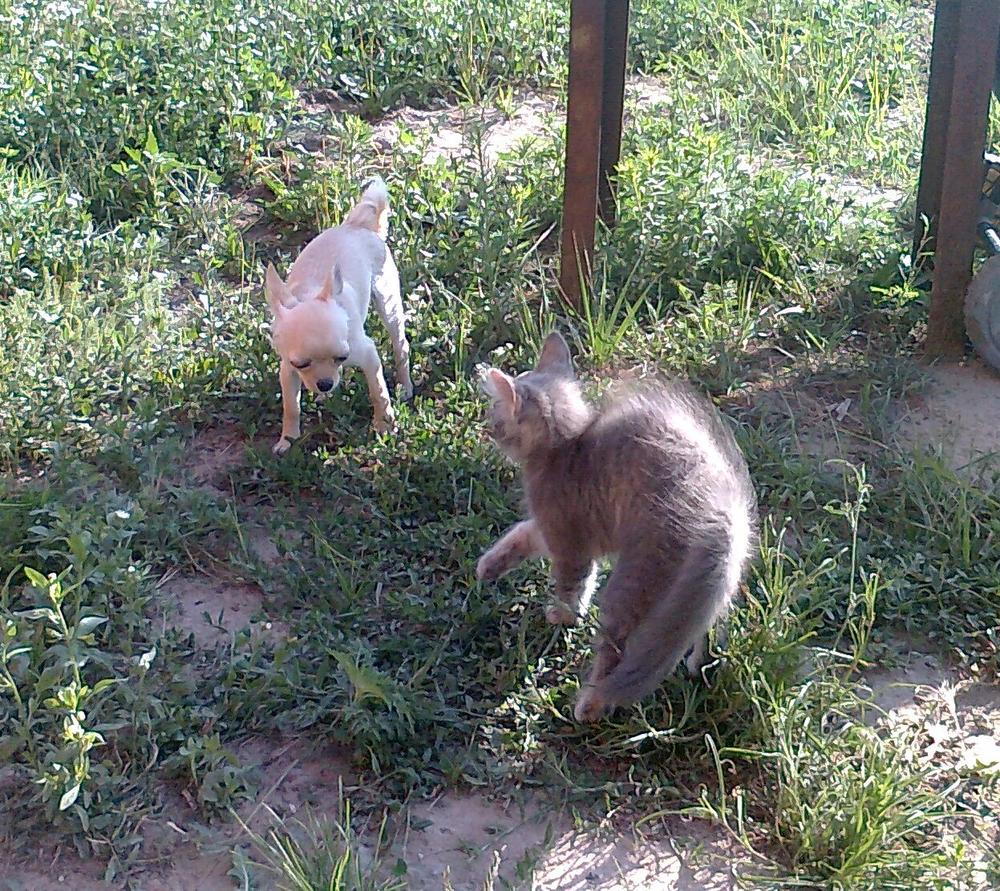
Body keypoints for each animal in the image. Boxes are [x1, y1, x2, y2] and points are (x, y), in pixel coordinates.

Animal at [476, 332, 757, 722]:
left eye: (494, 411)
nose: (486, 427)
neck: (566, 447)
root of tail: (722, 513)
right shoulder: (554, 529)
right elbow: (520, 535)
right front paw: (488, 566)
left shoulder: (568, 539)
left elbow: (573, 586)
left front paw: (562, 616)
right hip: (701, 591)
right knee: (700, 625)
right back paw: (699, 667)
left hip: (632, 585)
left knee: (617, 647)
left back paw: (591, 705)